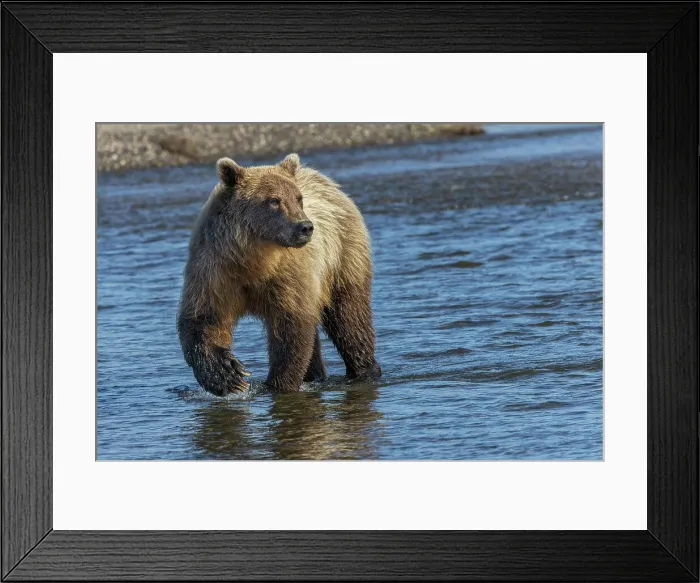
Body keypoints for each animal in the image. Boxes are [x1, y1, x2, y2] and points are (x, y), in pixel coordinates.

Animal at [177, 153, 381, 394]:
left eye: (298, 198)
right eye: (274, 200)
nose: (305, 226)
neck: (254, 260)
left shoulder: (287, 276)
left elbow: (291, 327)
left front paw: (277, 384)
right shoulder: (216, 270)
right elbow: (205, 319)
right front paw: (228, 374)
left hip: (342, 255)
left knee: (348, 316)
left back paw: (364, 370)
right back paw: (316, 375)